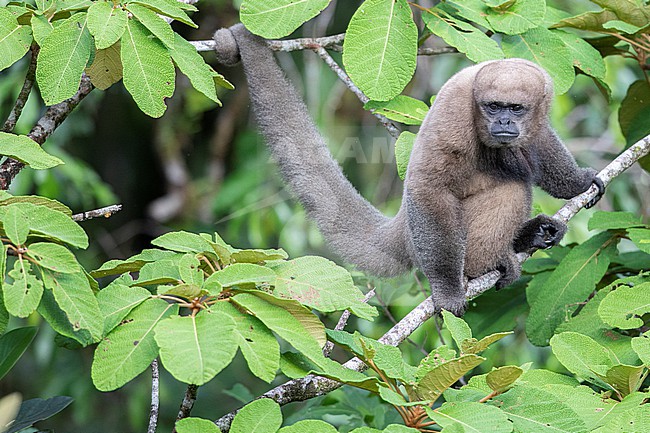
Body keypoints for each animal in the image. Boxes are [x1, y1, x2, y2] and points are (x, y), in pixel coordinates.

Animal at [212, 24, 604, 316]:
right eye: (493, 106)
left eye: (516, 109)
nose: (504, 122)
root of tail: (403, 226)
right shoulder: (455, 113)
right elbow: (429, 188)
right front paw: (447, 289)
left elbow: (539, 142)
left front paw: (577, 183)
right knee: (509, 186)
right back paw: (490, 263)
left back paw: (532, 235)